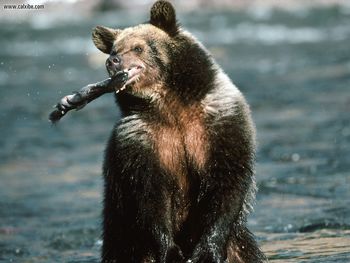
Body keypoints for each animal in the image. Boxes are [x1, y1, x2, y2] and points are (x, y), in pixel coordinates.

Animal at [91, 1, 266, 262]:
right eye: (114, 49)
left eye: (138, 47)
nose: (113, 61)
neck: (171, 105)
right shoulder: (141, 140)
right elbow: (149, 195)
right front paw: (171, 250)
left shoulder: (219, 124)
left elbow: (226, 182)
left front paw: (206, 250)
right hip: (124, 238)